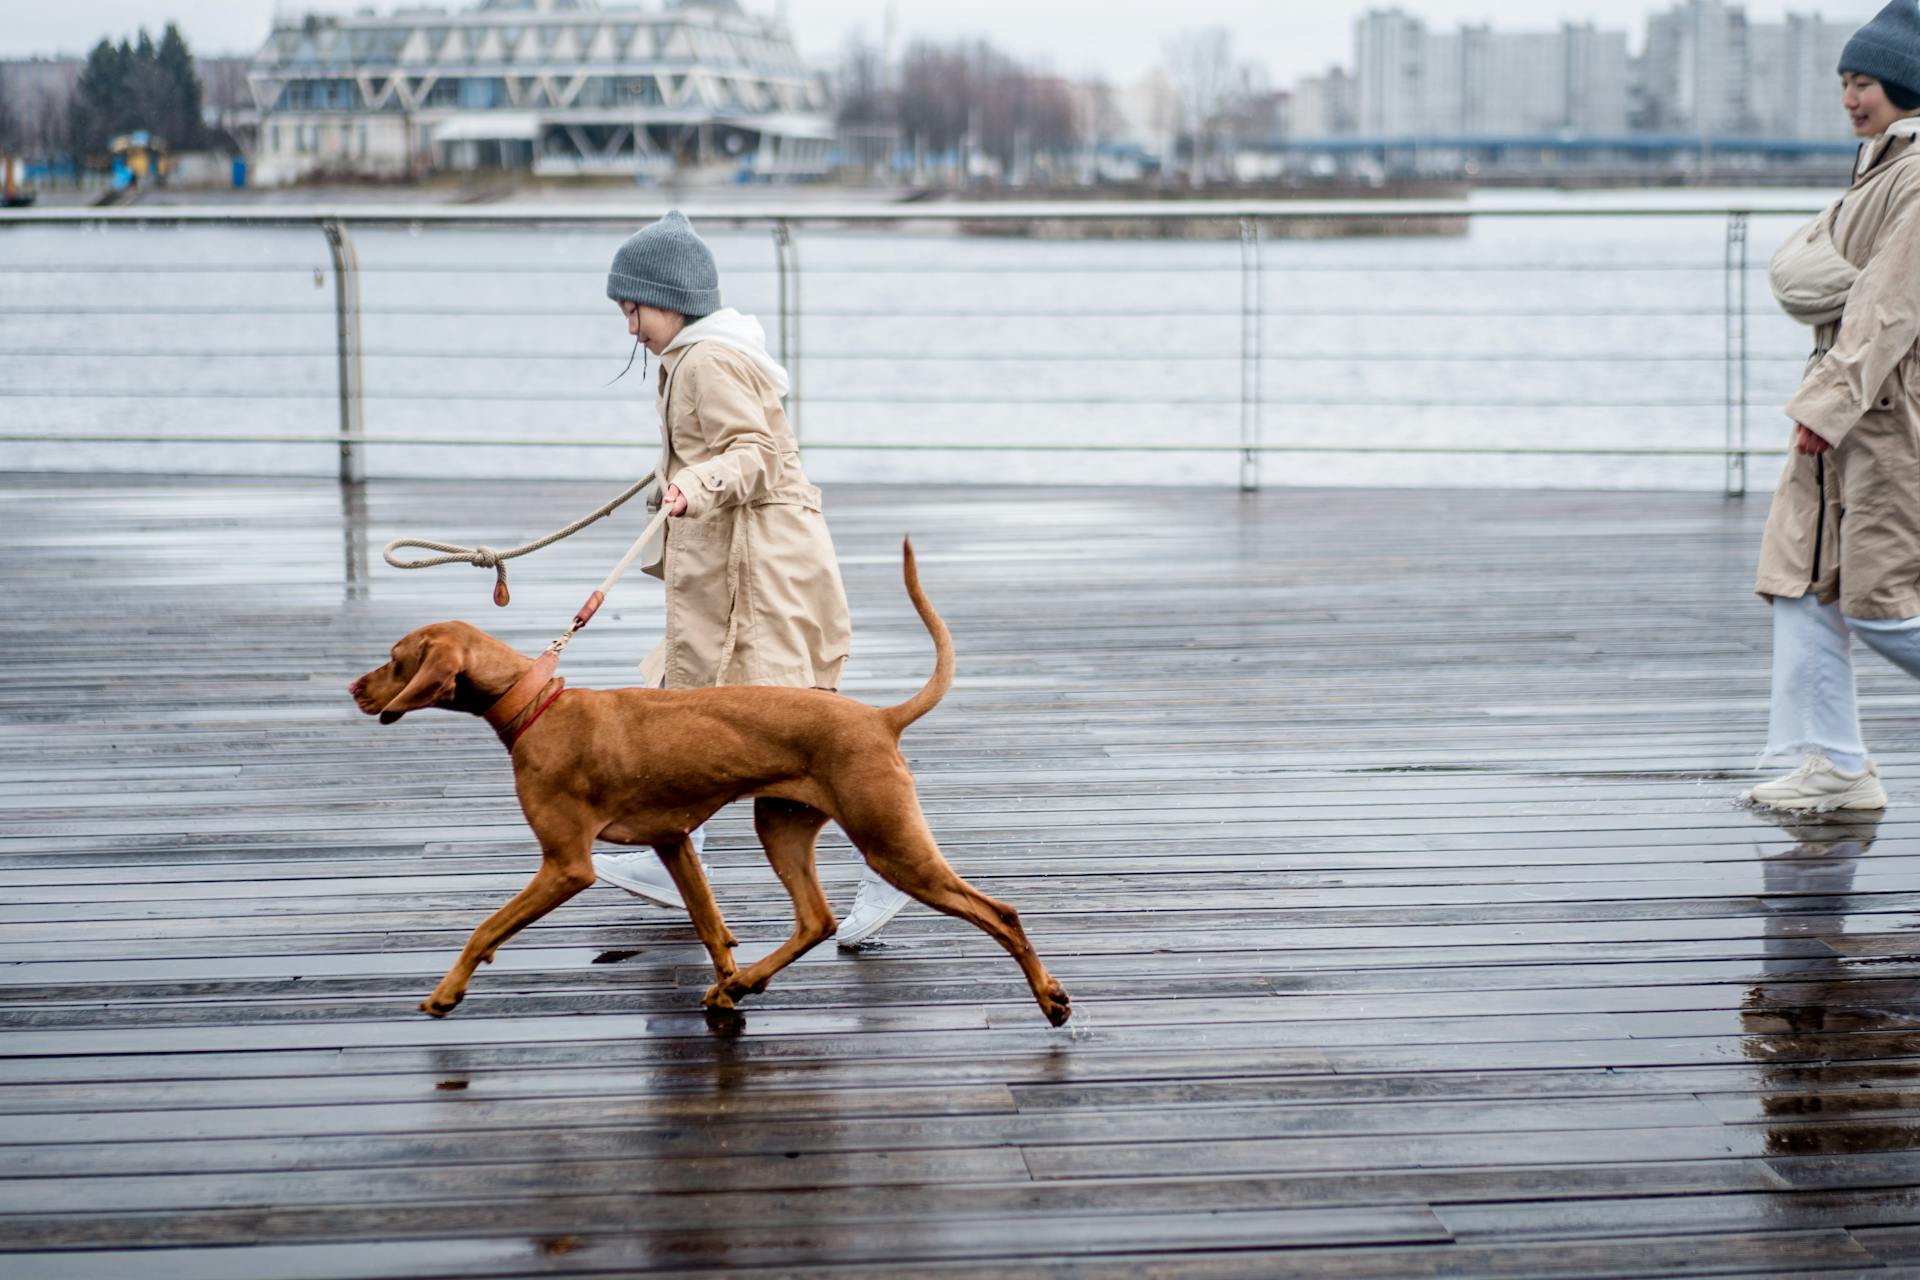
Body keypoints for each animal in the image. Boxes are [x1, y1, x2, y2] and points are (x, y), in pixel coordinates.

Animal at [345, 541, 1067, 1028]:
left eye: (395, 659)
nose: (353, 688)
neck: (536, 704)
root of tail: (879, 718)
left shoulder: (566, 864)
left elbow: (485, 927)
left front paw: (447, 991)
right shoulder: (673, 842)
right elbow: (711, 927)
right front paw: (728, 982)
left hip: (888, 839)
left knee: (999, 912)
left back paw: (1052, 999)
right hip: (781, 823)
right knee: (815, 918)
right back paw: (743, 985)